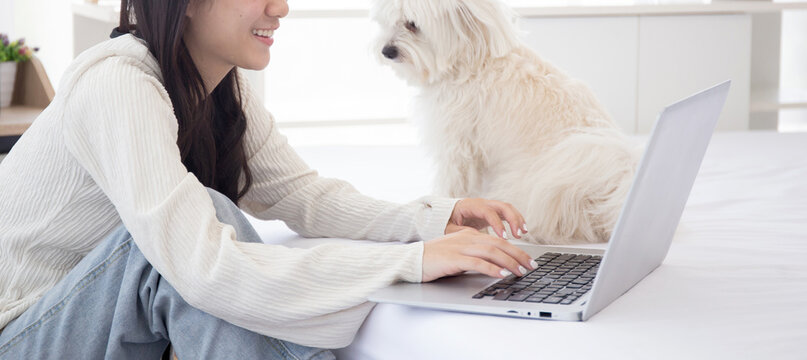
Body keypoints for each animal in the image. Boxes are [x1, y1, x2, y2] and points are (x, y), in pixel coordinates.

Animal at [372, 0, 644, 245]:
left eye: (412, 24)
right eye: (387, 21)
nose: (386, 51)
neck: (470, 60)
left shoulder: (458, 146)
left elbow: (453, 184)